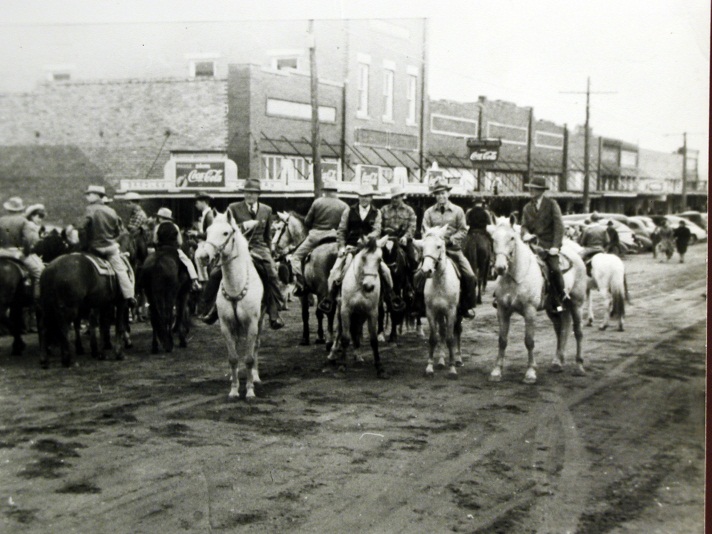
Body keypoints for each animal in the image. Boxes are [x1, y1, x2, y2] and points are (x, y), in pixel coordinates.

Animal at [196, 211, 266, 400]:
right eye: (207, 231)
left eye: (226, 233)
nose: (203, 257)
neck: (236, 286)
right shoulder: (226, 326)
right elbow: (233, 358)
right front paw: (234, 390)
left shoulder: (251, 325)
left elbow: (249, 358)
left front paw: (249, 390)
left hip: (260, 322)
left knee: (256, 347)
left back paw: (256, 376)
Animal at [272, 211, 340, 350]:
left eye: (279, 228)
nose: (273, 249)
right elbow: (318, 313)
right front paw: (320, 336)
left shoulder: (305, 294)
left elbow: (306, 314)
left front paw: (306, 338)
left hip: (324, 290)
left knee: (330, 312)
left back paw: (330, 342)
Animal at [328, 237, 390, 378]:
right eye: (363, 258)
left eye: (379, 259)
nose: (369, 286)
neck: (360, 285)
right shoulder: (346, 311)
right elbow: (345, 338)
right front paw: (342, 366)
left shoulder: (372, 312)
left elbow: (373, 340)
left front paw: (380, 368)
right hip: (341, 312)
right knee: (339, 331)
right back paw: (332, 354)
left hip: (360, 315)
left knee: (356, 331)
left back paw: (358, 355)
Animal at [412, 226, 462, 376]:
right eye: (423, 247)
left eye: (439, 246)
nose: (426, 270)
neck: (440, 282)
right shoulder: (432, 312)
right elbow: (434, 338)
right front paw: (429, 367)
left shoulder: (451, 312)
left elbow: (451, 338)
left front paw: (452, 368)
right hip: (440, 314)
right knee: (442, 332)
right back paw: (440, 360)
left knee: (457, 331)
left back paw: (458, 359)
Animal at [492, 218, 588, 386]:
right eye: (493, 238)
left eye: (512, 238)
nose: (500, 267)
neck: (516, 276)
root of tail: (576, 256)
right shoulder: (502, 310)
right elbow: (502, 340)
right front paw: (497, 371)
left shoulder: (530, 311)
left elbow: (529, 341)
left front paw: (530, 373)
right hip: (554, 309)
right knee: (561, 330)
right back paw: (557, 362)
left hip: (577, 304)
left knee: (578, 332)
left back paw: (579, 366)